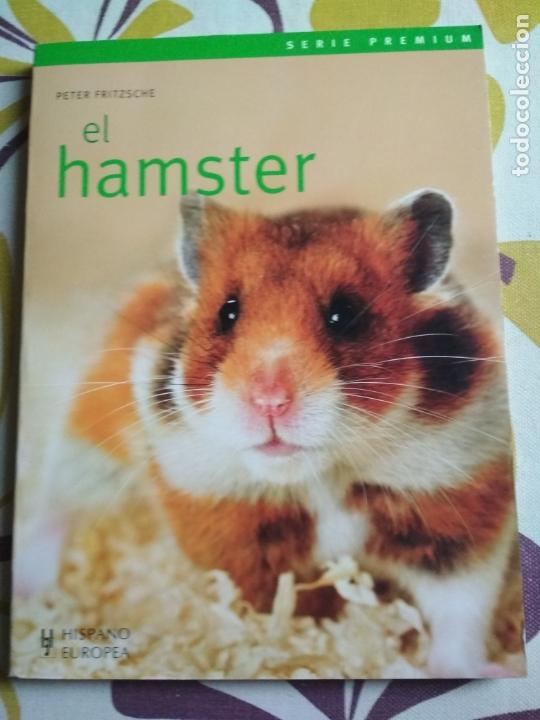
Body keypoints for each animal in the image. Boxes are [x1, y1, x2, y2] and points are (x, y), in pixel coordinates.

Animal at [67, 190, 519, 678]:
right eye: (227, 312)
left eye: (345, 315)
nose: (269, 402)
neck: (320, 474)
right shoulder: (232, 536)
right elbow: (278, 607)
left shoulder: (456, 521)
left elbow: (460, 611)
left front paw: (472, 670)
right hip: (91, 439)